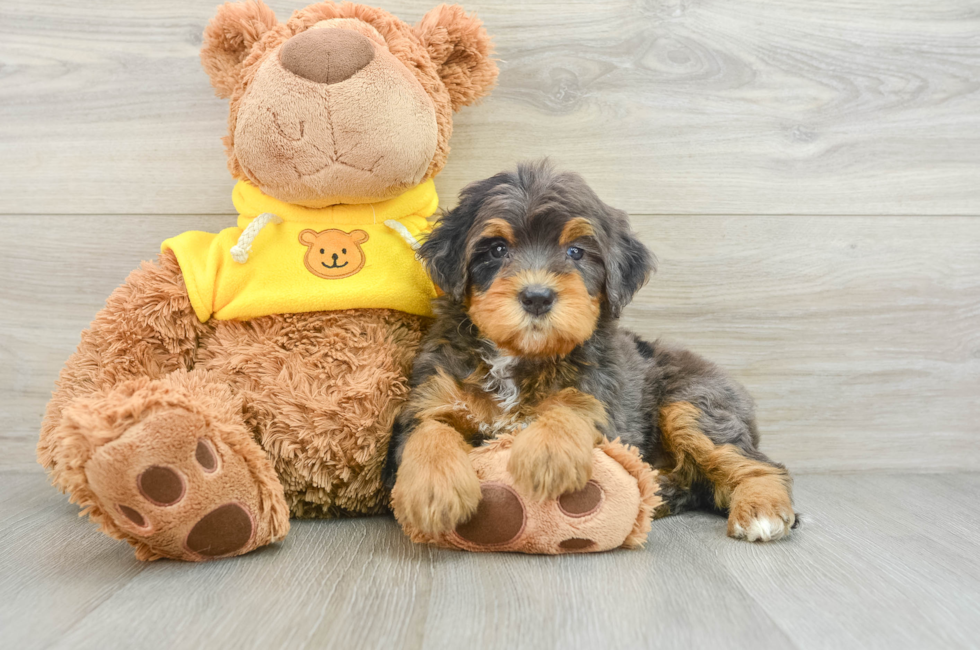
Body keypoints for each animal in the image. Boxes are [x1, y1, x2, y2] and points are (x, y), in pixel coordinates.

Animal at [382, 159, 796, 540]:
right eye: (497, 249)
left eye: (576, 252)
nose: (537, 297)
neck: (519, 358)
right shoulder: (434, 393)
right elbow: (429, 430)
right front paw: (433, 491)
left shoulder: (605, 393)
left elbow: (574, 404)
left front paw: (547, 454)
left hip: (694, 405)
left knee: (759, 463)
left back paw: (761, 510)